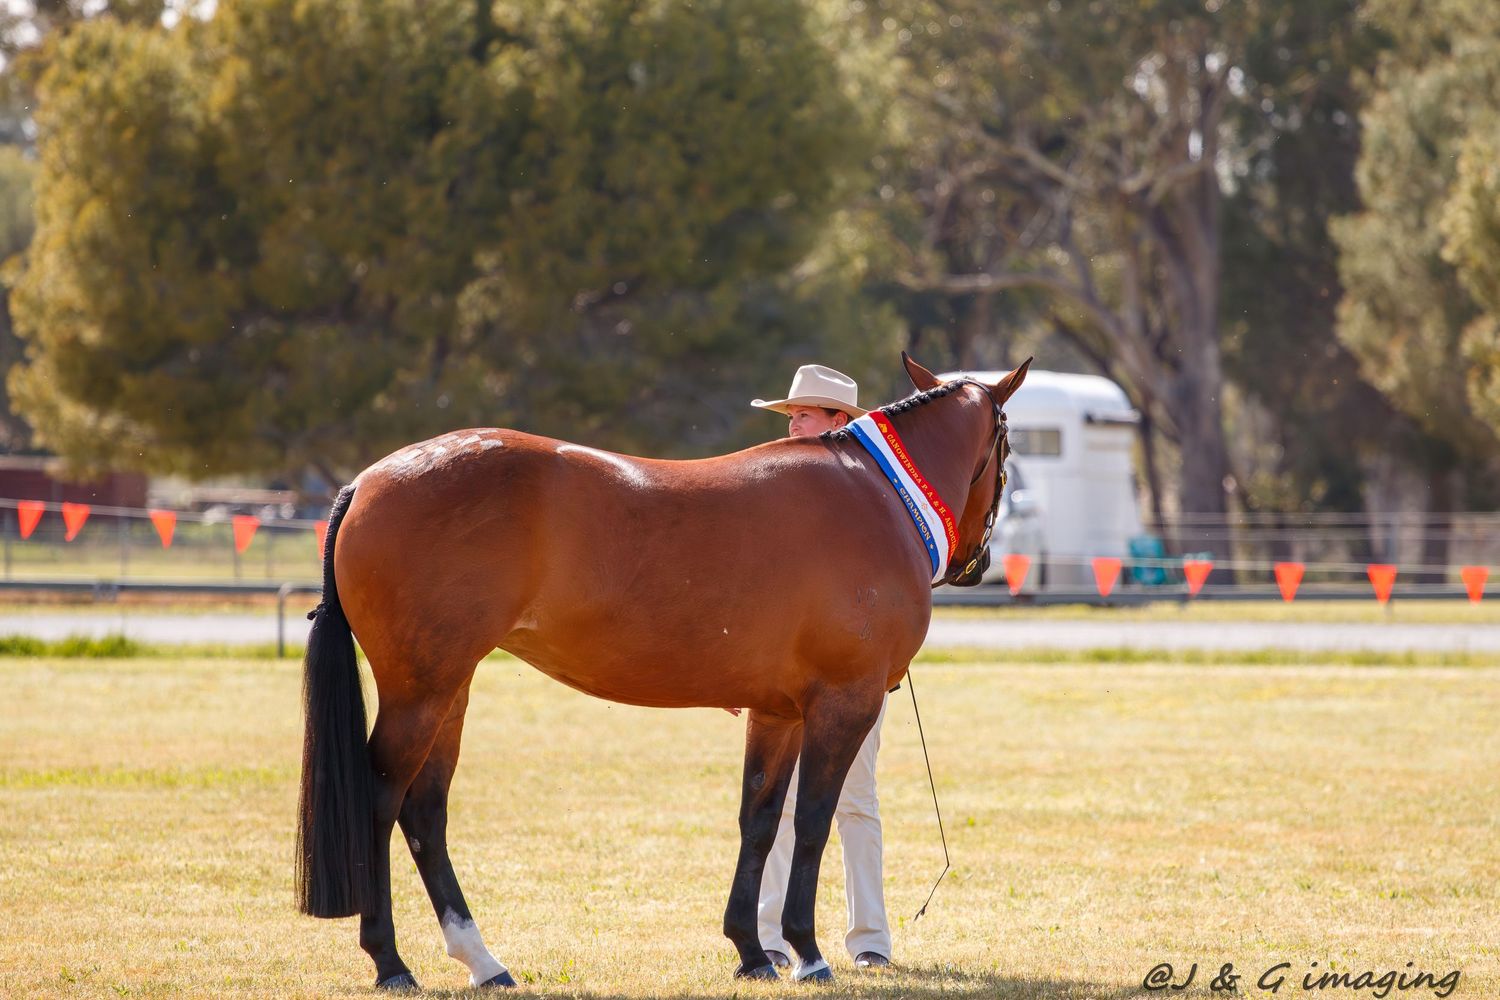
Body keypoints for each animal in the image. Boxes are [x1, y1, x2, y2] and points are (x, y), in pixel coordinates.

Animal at [295, 353, 1030, 990]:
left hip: (450, 689)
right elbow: (813, 822)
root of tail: (367, 481)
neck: (875, 490)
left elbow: (760, 820)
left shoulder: (778, 713)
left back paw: (482, 961)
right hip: (420, 691)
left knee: (425, 809)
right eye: (1009, 449)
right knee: (382, 800)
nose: (978, 563)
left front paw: (752, 952)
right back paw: (391, 962)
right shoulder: (844, 704)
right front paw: (807, 951)